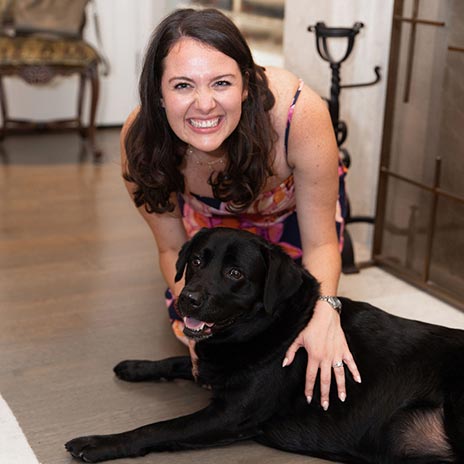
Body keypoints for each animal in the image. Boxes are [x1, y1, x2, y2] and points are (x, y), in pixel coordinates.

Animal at [66, 227, 464, 463]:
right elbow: (178, 361)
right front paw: (136, 366)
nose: (187, 300)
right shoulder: (212, 363)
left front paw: (97, 443)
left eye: (235, 273)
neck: (270, 327)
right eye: (196, 261)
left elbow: (158, 428)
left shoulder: (228, 416)